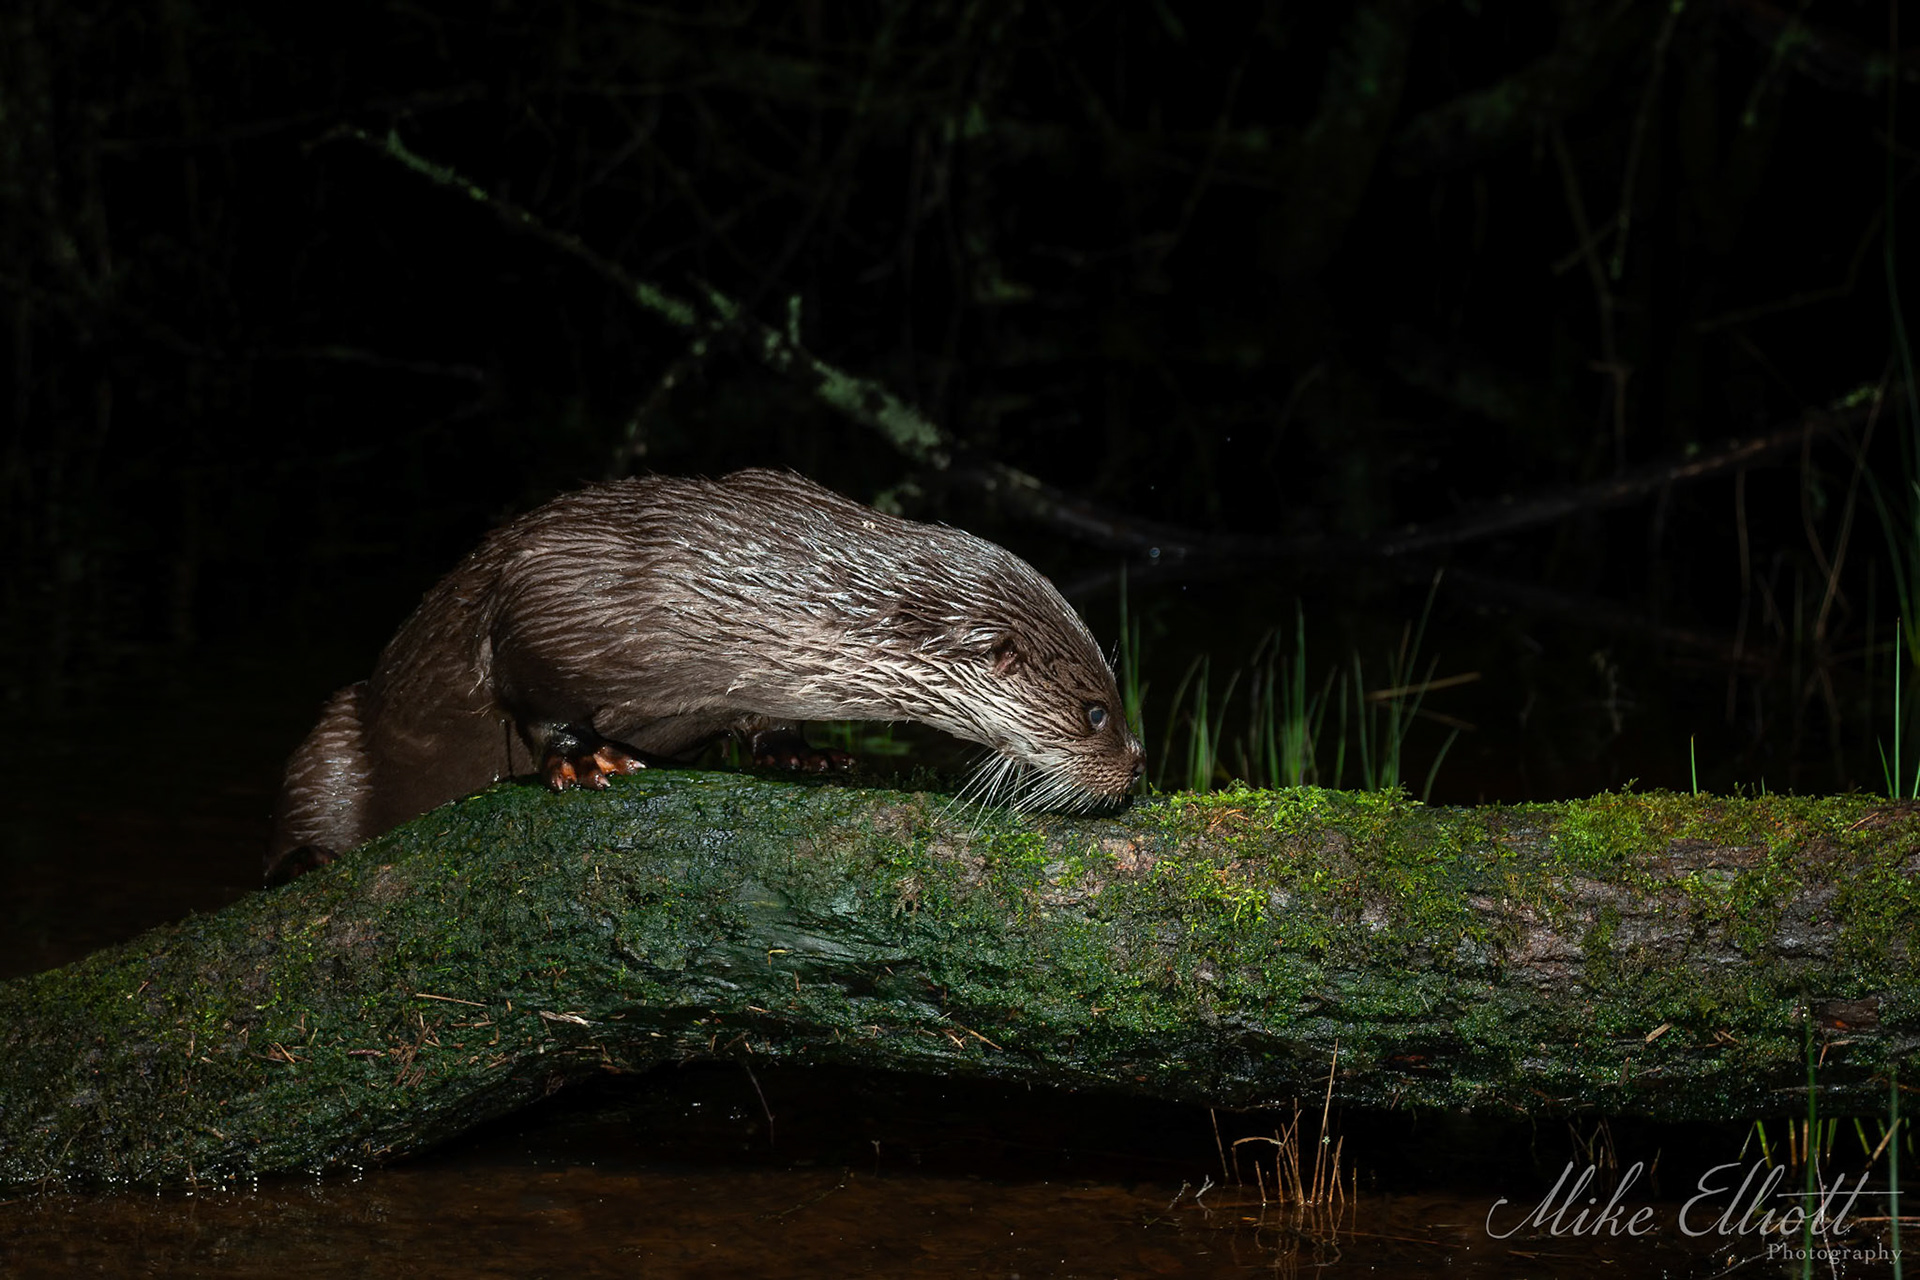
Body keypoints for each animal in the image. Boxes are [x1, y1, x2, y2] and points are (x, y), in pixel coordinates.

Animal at [268, 468, 1146, 882]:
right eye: (1097, 712)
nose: (1137, 768)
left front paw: (802, 752)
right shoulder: (552, 589)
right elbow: (530, 687)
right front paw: (582, 757)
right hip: (339, 728)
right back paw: (307, 858)